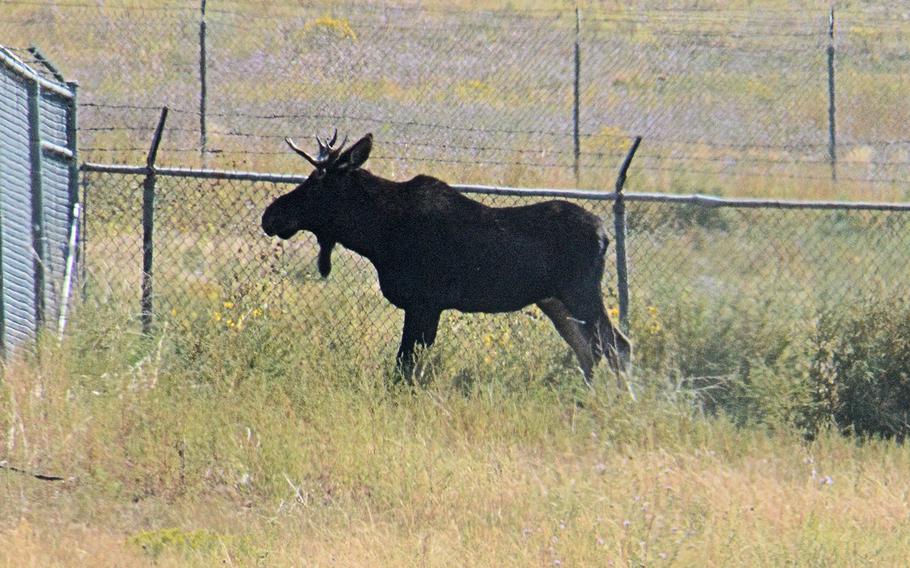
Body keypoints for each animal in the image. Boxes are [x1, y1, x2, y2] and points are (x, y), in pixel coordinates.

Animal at [262, 131, 636, 384]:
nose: (270, 215)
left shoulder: (425, 302)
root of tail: (604, 234)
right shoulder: (424, 306)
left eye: (317, 182)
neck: (377, 235)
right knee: (587, 349)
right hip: (554, 300)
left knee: (617, 345)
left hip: (580, 292)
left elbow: (405, 364)